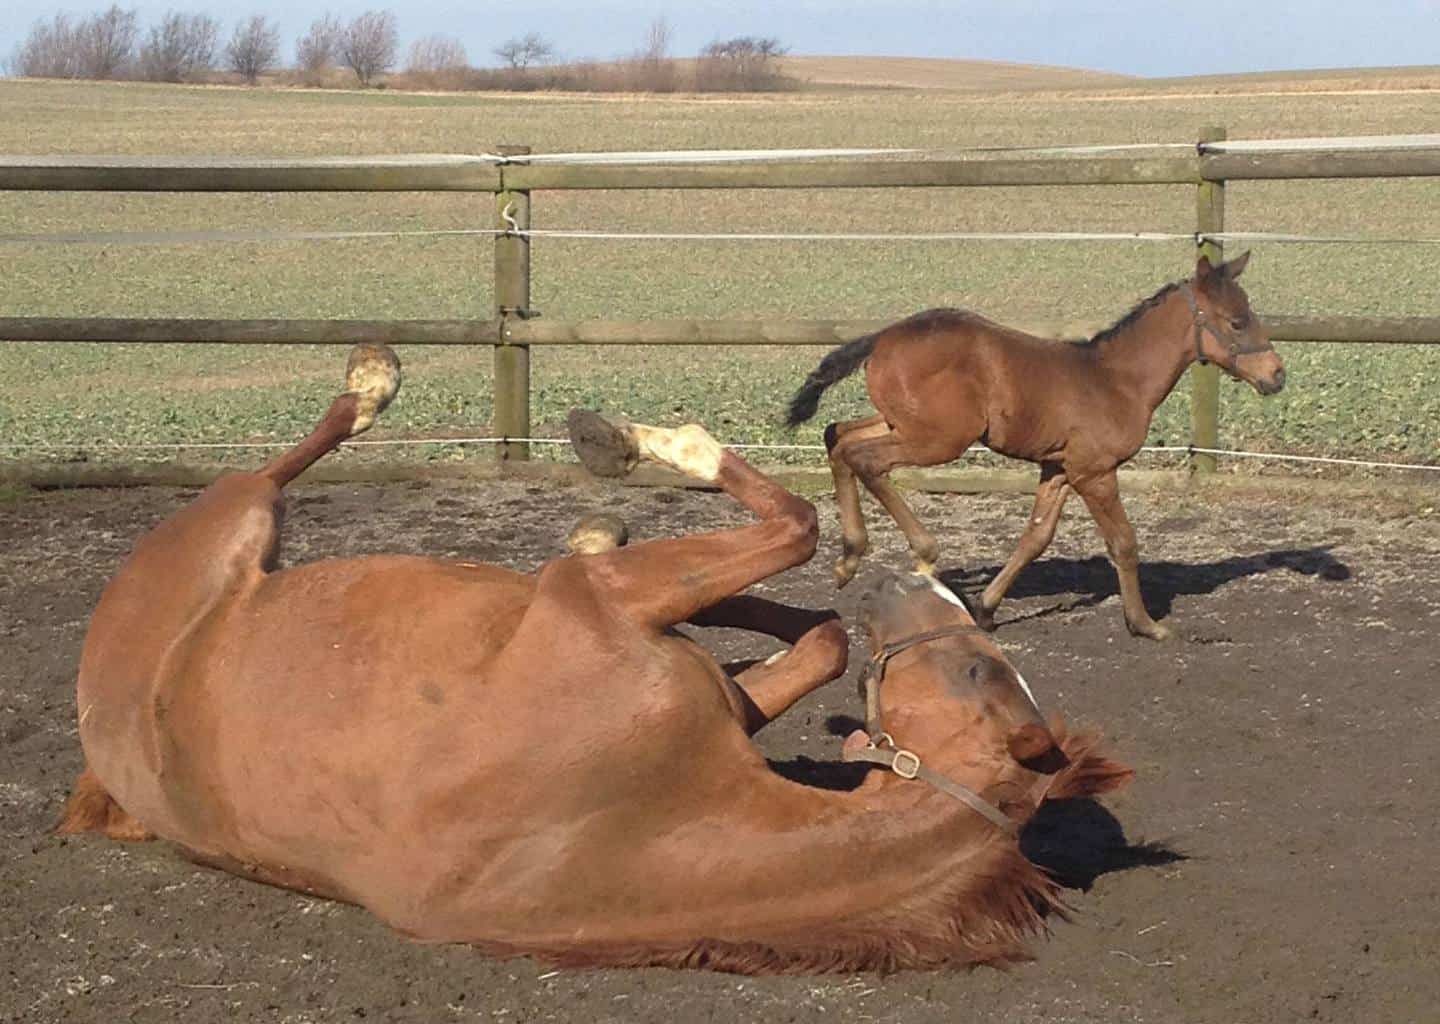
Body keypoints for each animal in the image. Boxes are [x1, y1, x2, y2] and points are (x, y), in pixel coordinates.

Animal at [794, 254, 1290, 639]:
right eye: (1237, 322)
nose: (1277, 375)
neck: (1117, 380)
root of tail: (882, 337)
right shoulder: (1095, 471)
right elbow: (1124, 542)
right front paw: (1145, 624)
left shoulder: (1059, 469)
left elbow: (1035, 537)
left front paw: (986, 609)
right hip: (939, 439)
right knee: (865, 458)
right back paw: (917, 551)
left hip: (905, 423)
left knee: (837, 437)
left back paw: (848, 560)